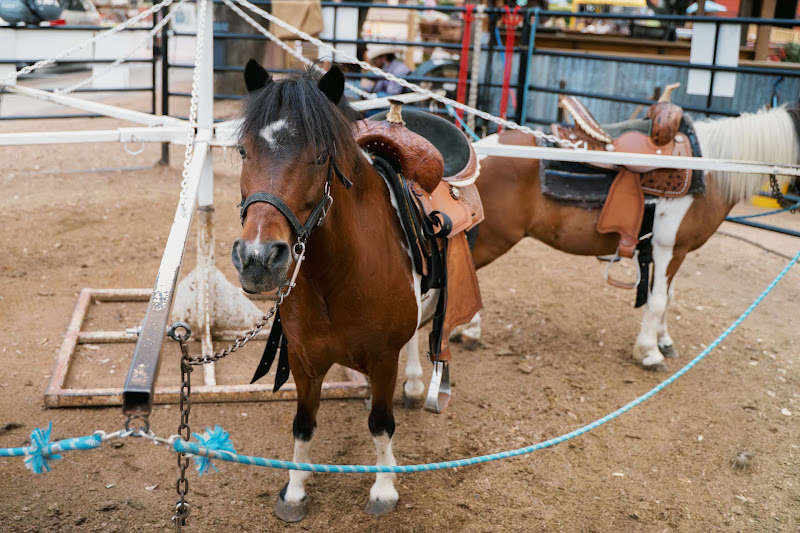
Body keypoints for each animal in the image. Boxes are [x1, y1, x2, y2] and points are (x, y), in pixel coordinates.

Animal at [231, 60, 425, 521]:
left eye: (321, 157)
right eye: (244, 151)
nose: (257, 258)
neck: (336, 279)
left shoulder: (383, 358)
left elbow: (381, 424)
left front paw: (384, 488)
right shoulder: (302, 360)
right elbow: (303, 423)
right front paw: (295, 489)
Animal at [442, 106, 800, 372]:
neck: (708, 168)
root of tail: (473, 156)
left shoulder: (673, 252)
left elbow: (667, 297)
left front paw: (664, 341)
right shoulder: (669, 249)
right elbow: (658, 301)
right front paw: (649, 352)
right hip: (492, 240)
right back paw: (467, 332)